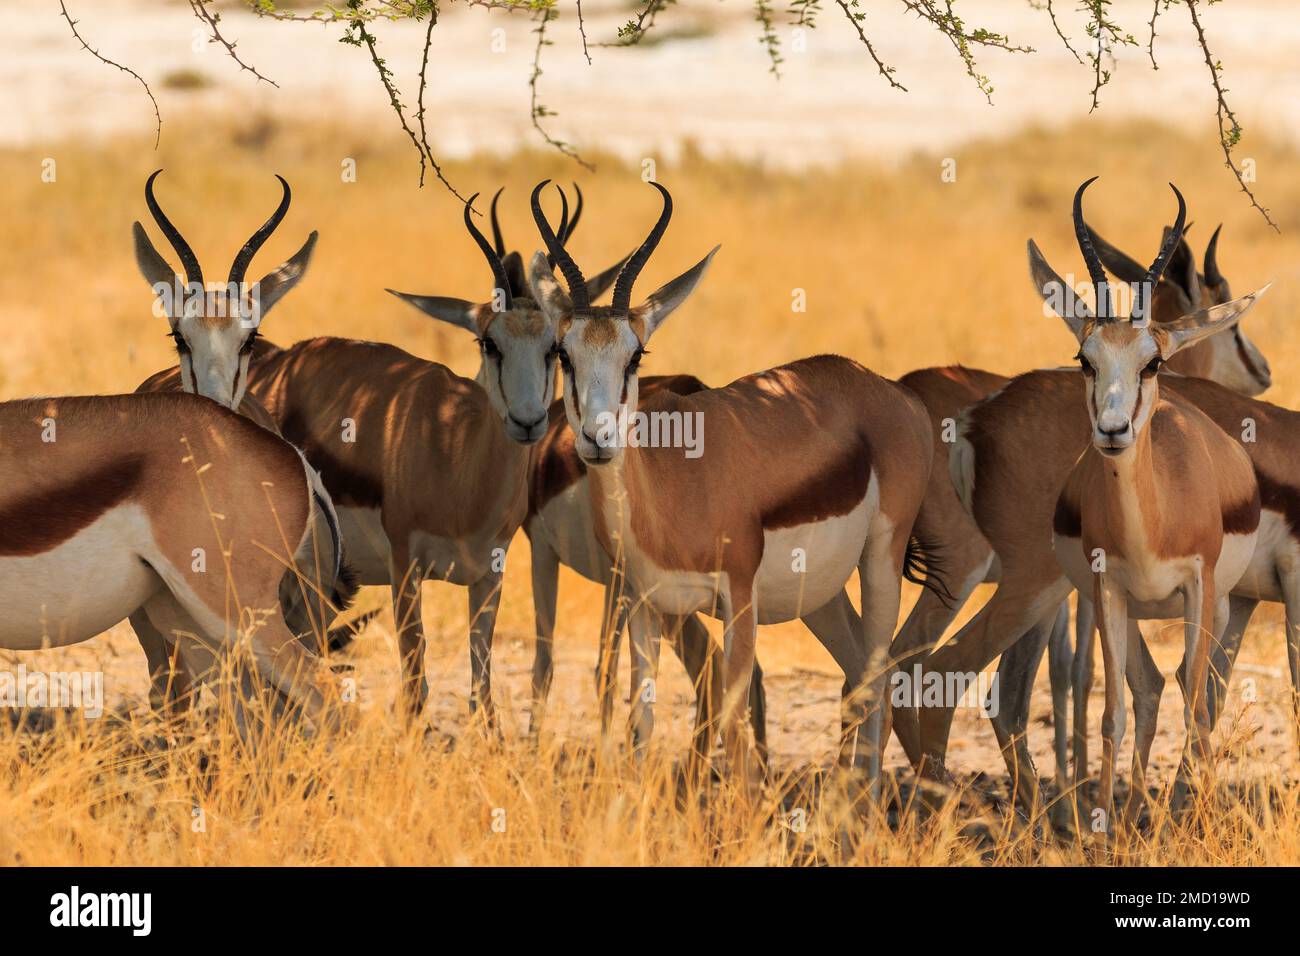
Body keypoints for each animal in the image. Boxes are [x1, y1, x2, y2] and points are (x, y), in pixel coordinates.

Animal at [241, 190, 634, 722]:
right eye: (488, 342)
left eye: (556, 347)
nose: (529, 421)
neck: (456, 466)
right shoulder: (406, 571)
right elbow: (415, 688)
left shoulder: (489, 575)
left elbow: (482, 691)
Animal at [527, 179, 935, 794]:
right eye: (562, 353)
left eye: (635, 354)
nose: (599, 438)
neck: (673, 488)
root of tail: (890, 392)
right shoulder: (644, 605)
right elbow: (642, 718)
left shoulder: (738, 604)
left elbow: (735, 723)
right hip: (820, 597)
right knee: (858, 679)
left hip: (879, 564)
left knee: (876, 682)